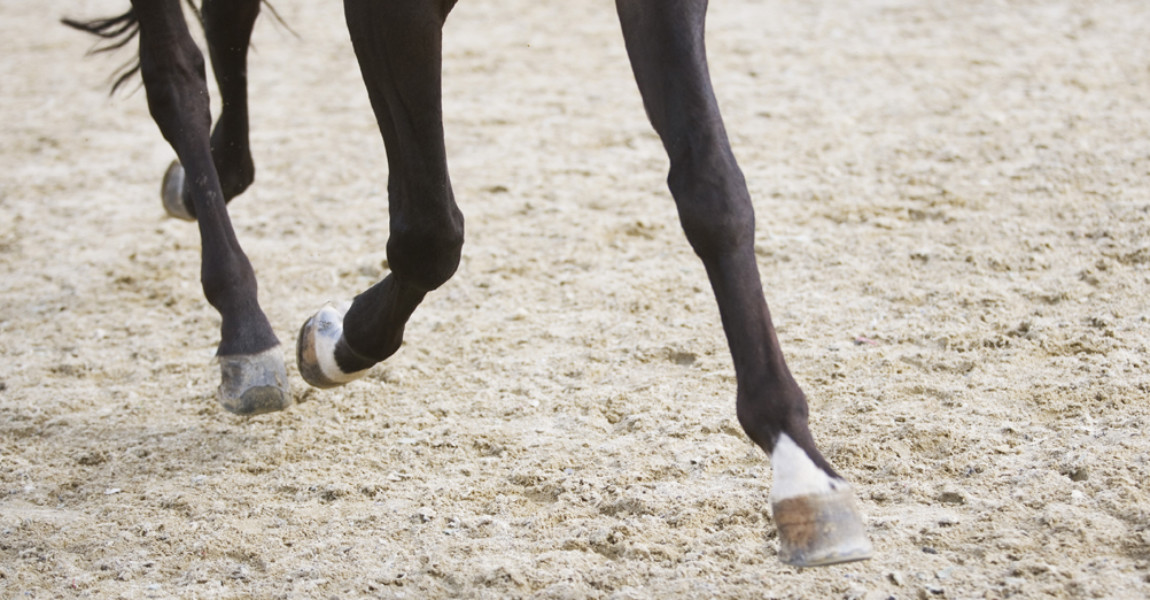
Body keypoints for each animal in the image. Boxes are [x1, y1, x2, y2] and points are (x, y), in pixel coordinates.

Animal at [62, 0, 869, 565]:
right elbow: (430, 233)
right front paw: (336, 343)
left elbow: (712, 193)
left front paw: (800, 468)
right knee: (176, 76)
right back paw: (244, 332)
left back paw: (211, 182)